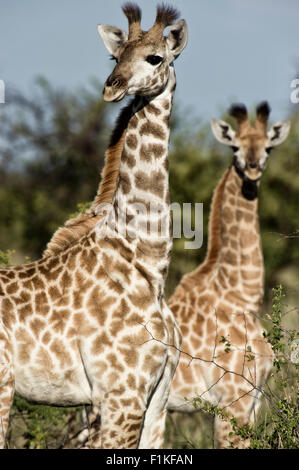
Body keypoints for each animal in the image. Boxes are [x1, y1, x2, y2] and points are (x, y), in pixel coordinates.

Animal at [0, 4, 188, 452]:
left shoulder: (157, 401)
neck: (150, 263)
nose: (112, 87)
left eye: (155, 57)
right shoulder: (121, 397)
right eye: (114, 57)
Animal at [166, 102, 290, 448]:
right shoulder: (233, 401)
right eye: (234, 147)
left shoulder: (253, 400)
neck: (241, 294)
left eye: (269, 147)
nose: (252, 167)